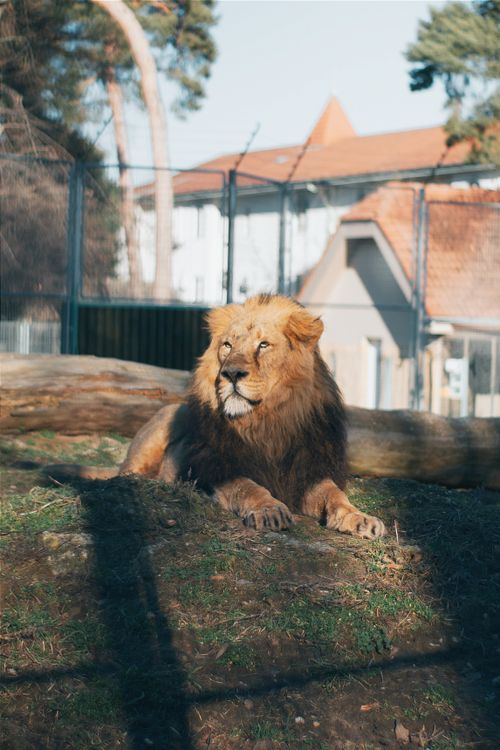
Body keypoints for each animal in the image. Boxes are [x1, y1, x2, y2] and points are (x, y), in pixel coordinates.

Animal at [53, 294, 385, 539]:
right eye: (228, 345)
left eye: (263, 345)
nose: (231, 373)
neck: (267, 422)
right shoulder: (218, 467)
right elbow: (248, 487)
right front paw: (269, 510)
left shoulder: (308, 472)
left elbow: (334, 495)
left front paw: (362, 519)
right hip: (164, 419)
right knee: (126, 473)